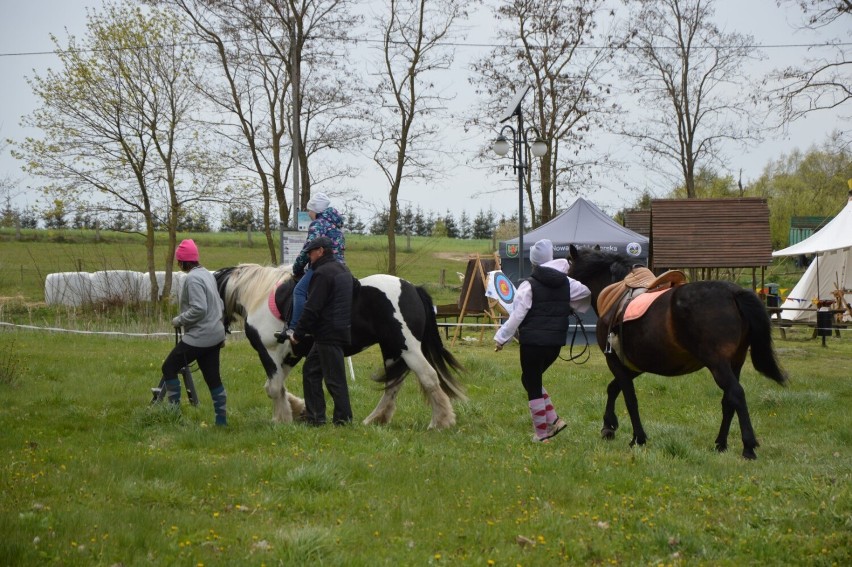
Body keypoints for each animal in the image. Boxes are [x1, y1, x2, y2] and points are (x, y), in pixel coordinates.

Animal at [211, 266, 466, 430]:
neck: (259, 295)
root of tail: (413, 289)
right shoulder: (290, 355)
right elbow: (278, 386)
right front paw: (298, 409)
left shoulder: (270, 352)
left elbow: (273, 388)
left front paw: (281, 419)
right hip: (393, 350)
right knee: (393, 386)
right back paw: (375, 419)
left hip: (409, 348)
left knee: (429, 378)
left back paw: (440, 421)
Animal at [568, 246, 788, 460]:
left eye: (569, 272)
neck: (615, 294)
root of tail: (734, 293)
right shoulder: (635, 365)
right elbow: (614, 388)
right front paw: (609, 426)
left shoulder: (615, 361)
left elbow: (629, 398)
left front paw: (637, 438)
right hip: (735, 362)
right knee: (728, 400)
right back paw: (720, 444)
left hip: (718, 364)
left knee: (736, 394)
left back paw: (748, 447)